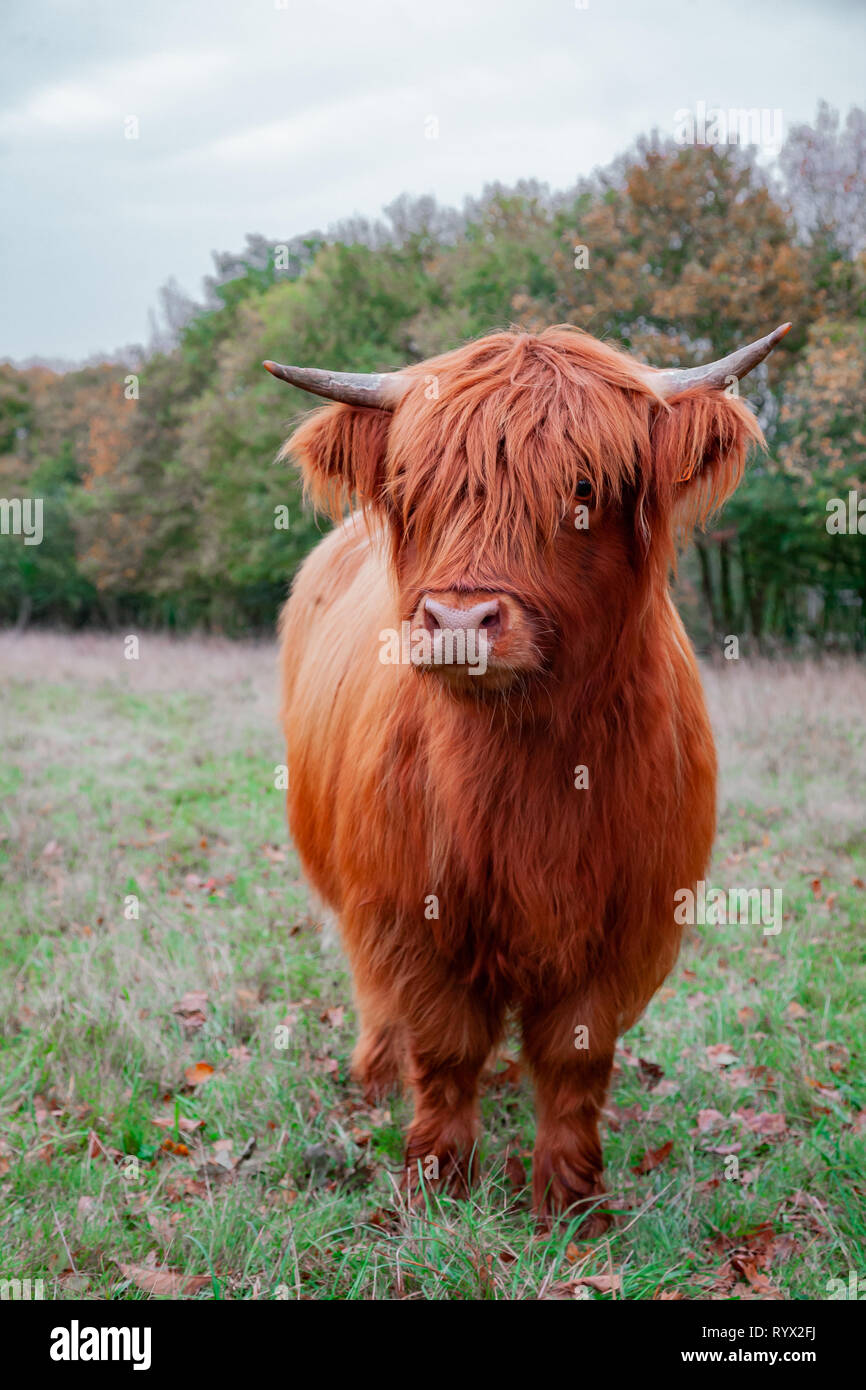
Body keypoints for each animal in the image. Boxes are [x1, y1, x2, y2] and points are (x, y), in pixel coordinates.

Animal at [264, 322, 790, 1230]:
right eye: (414, 487)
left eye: (582, 488)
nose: (457, 620)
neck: (528, 764)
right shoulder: (409, 909)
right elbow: (444, 1047)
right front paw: (437, 1186)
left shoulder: (624, 927)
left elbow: (575, 1060)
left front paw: (571, 1206)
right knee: (376, 993)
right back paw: (376, 1073)